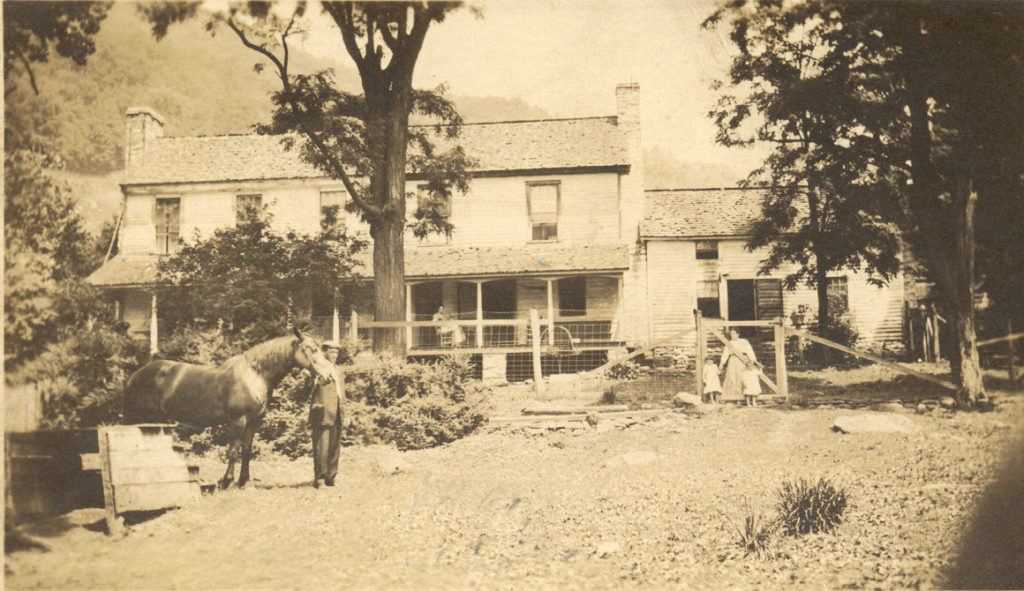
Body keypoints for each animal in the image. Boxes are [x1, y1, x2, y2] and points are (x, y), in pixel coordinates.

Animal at [122, 327, 333, 487]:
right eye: (310, 349)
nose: (328, 376)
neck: (253, 376)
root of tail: (134, 376)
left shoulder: (253, 422)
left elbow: (247, 450)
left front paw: (243, 481)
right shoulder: (238, 421)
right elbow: (233, 450)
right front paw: (226, 481)